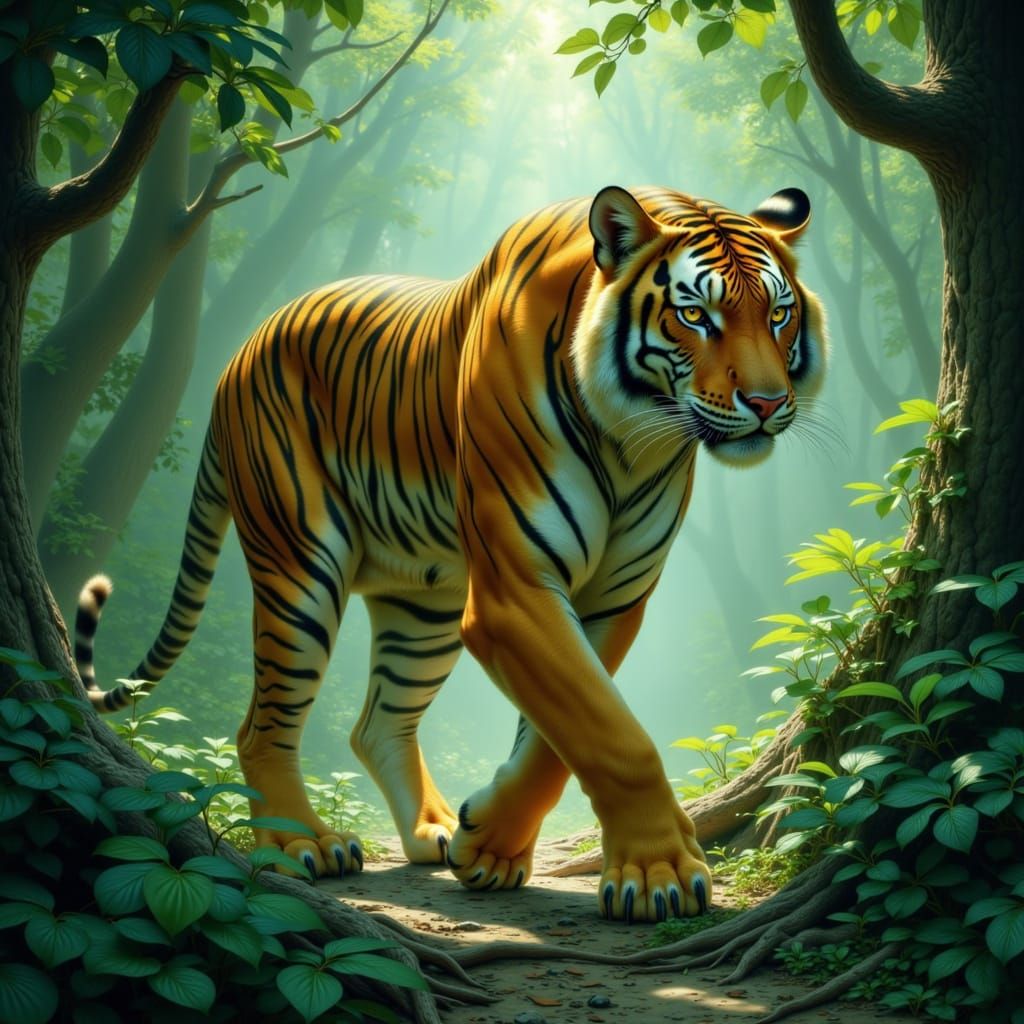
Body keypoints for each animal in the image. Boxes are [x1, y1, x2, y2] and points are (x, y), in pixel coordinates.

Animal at [77, 184, 825, 922]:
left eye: (779, 315)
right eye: (696, 315)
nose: (767, 403)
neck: (633, 438)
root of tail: (235, 359)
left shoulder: (613, 597)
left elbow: (564, 735)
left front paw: (489, 845)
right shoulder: (513, 592)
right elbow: (612, 733)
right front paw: (657, 873)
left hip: (424, 605)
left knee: (377, 722)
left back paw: (431, 831)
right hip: (298, 568)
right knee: (261, 727)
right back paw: (303, 845)